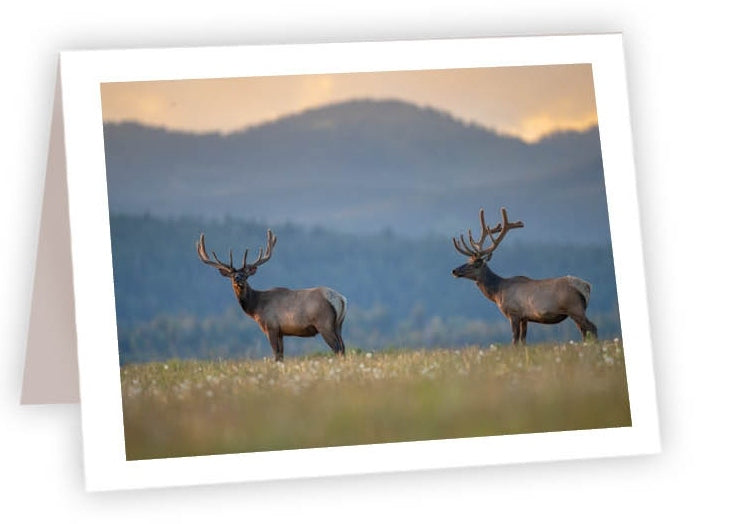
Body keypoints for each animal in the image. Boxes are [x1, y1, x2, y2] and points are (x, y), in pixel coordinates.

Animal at [196, 229, 347, 361]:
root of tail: (340, 299)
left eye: (245, 275)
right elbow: (281, 355)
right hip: (338, 324)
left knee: (337, 348)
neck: (256, 307)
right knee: (343, 347)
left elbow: (276, 355)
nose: (238, 278)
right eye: (232, 275)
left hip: (324, 323)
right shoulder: (280, 331)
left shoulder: (271, 326)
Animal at [451, 208, 597, 345]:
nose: (454, 271)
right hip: (576, 311)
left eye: (475, 264)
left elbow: (515, 340)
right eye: (467, 261)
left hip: (575, 308)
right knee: (584, 331)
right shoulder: (525, 318)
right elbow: (523, 341)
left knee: (592, 327)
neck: (498, 293)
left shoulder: (514, 313)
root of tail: (586, 287)